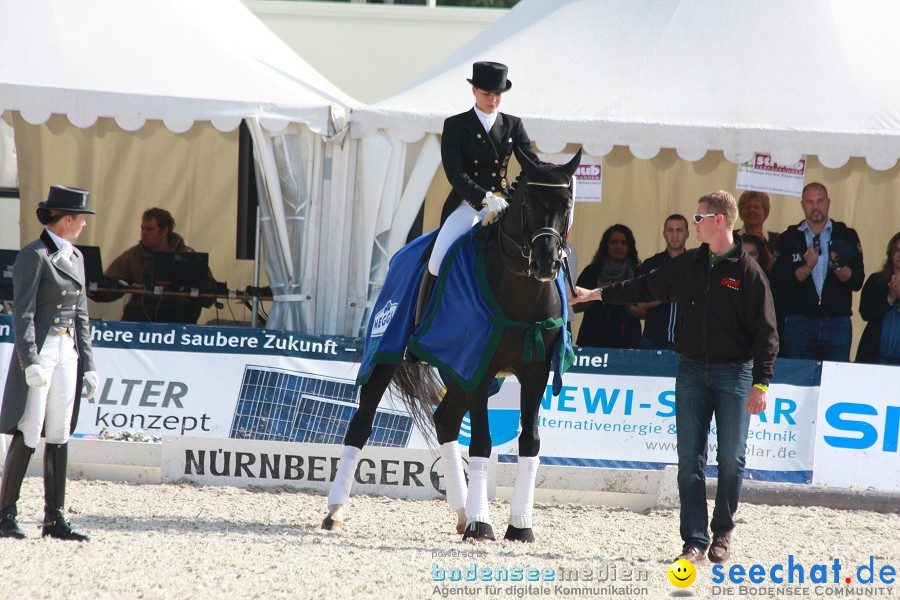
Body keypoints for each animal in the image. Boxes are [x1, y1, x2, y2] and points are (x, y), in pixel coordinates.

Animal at [324, 146, 584, 544]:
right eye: (529, 201)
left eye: (567, 204)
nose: (546, 263)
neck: (522, 291)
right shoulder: (480, 366)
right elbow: (482, 442)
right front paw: (483, 524)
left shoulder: (530, 372)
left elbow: (530, 441)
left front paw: (519, 525)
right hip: (387, 356)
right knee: (360, 425)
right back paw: (335, 512)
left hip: (458, 367)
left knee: (445, 421)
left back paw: (461, 514)